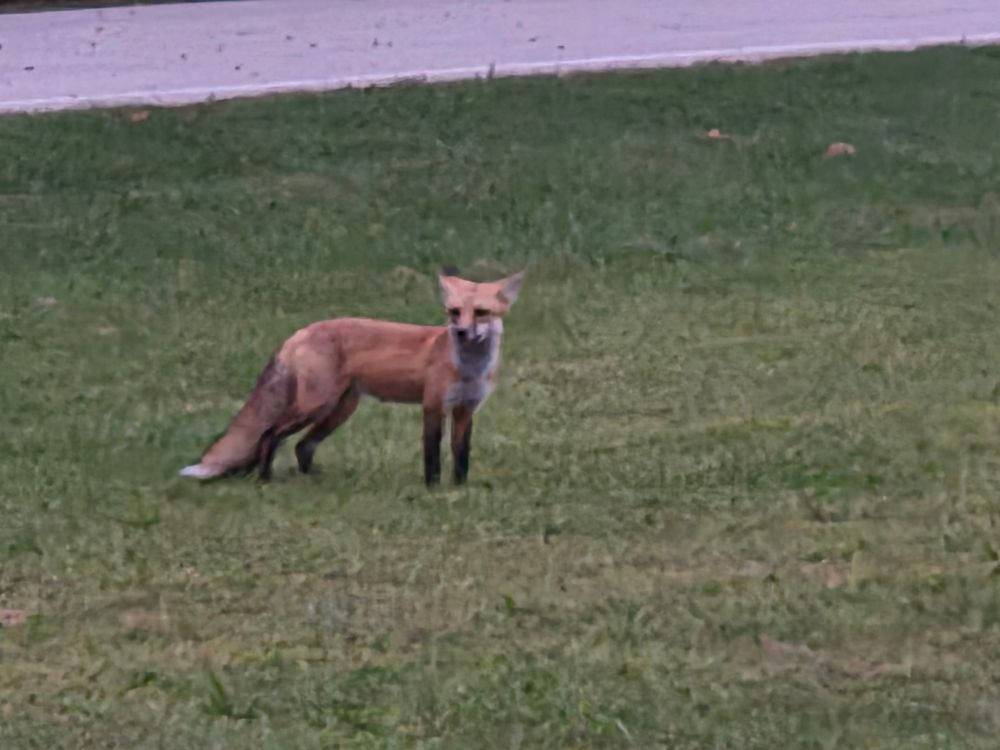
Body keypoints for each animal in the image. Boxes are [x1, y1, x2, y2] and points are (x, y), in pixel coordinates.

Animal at [179, 268, 524, 486]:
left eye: (481, 313)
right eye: (454, 312)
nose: (462, 331)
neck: (468, 369)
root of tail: (300, 332)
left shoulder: (465, 410)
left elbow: (462, 456)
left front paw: (460, 488)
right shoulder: (433, 407)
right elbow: (432, 456)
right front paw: (433, 488)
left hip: (340, 409)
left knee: (301, 446)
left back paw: (310, 480)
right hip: (315, 405)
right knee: (269, 436)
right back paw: (265, 480)